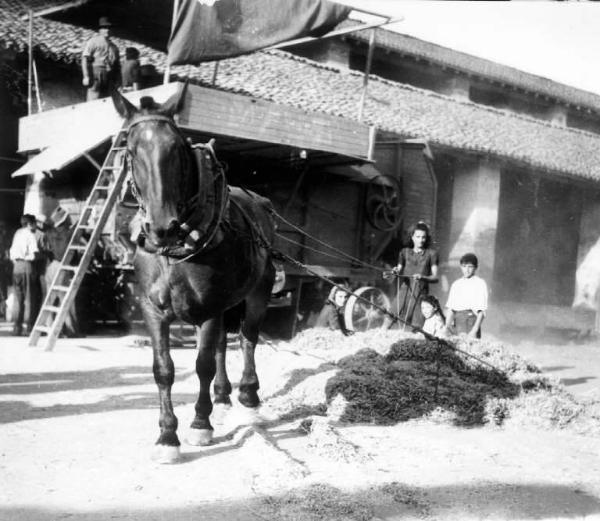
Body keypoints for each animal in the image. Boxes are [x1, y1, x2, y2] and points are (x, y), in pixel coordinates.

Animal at [112, 86, 276, 464]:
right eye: (130, 147)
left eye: (177, 147)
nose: (162, 227)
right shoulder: (152, 310)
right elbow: (164, 369)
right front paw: (167, 437)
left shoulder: (209, 309)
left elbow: (202, 364)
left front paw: (200, 424)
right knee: (223, 346)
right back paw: (223, 396)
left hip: (258, 291)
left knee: (247, 338)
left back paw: (248, 398)